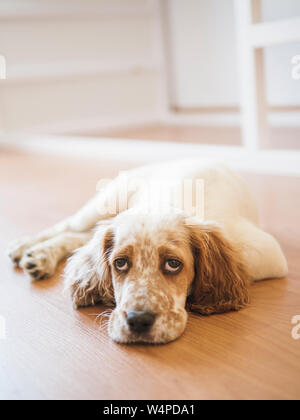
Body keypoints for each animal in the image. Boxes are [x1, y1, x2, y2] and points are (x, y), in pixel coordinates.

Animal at [8, 159, 288, 342]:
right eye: (120, 263)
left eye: (173, 264)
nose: (138, 321)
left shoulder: (269, 253)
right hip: (105, 202)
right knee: (69, 226)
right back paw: (29, 249)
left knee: (77, 236)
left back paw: (38, 256)